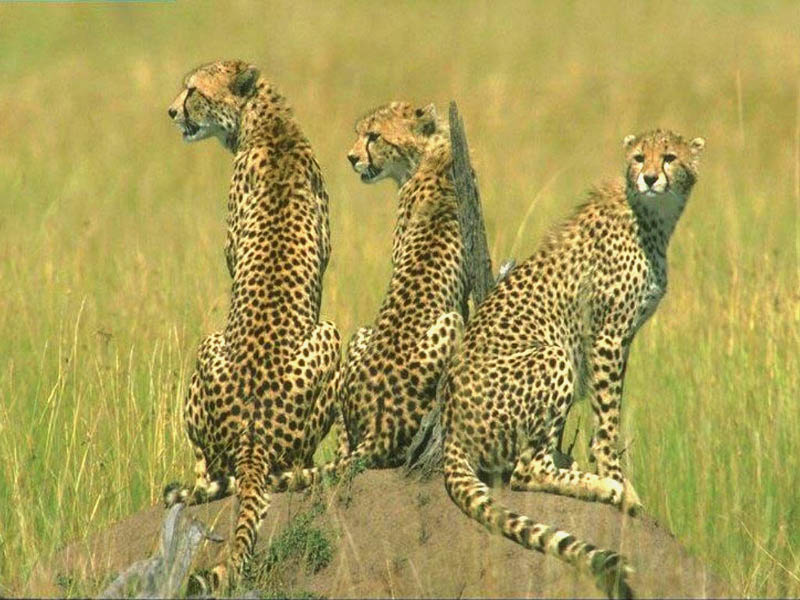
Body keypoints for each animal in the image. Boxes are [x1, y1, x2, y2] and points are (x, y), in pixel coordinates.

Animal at [442, 129, 705, 598]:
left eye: (670, 157)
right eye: (639, 158)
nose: (650, 178)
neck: (650, 216)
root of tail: (451, 424)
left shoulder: (621, 339)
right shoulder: (607, 336)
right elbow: (608, 422)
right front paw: (616, 477)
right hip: (554, 355)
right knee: (526, 471)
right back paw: (605, 488)